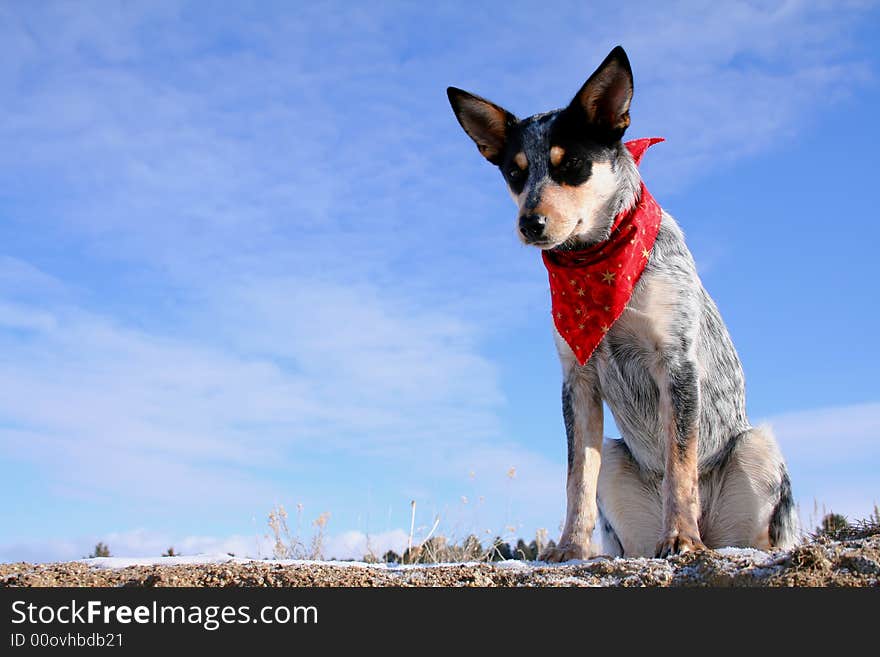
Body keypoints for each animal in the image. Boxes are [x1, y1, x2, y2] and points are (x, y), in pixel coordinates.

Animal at [446, 44, 796, 560]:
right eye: (515, 172)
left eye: (571, 164)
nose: (530, 223)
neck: (598, 261)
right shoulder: (578, 381)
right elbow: (577, 478)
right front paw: (570, 547)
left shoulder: (676, 365)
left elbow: (680, 465)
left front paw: (681, 536)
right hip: (617, 463)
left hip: (758, 446)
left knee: (755, 537)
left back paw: (708, 539)